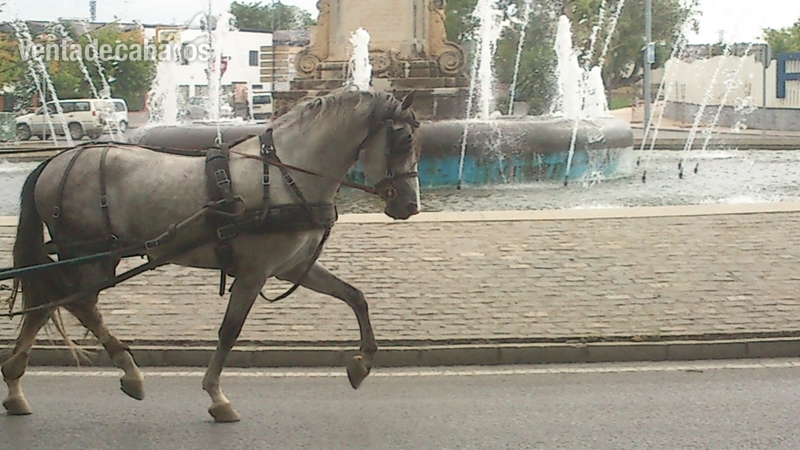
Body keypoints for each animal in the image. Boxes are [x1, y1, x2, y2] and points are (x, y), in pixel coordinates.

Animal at [1, 85, 422, 422]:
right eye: (402, 140)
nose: (409, 205)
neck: (284, 174)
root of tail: (55, 161)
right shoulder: (254, 273)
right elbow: (229, 331)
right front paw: (217, 396)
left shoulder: (294, 267)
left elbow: (355, 297)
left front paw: (362, 364)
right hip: (93, 255)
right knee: (79, 305)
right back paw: (129, 372)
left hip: (91, 256)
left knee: (47, 303)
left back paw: (15, 383)